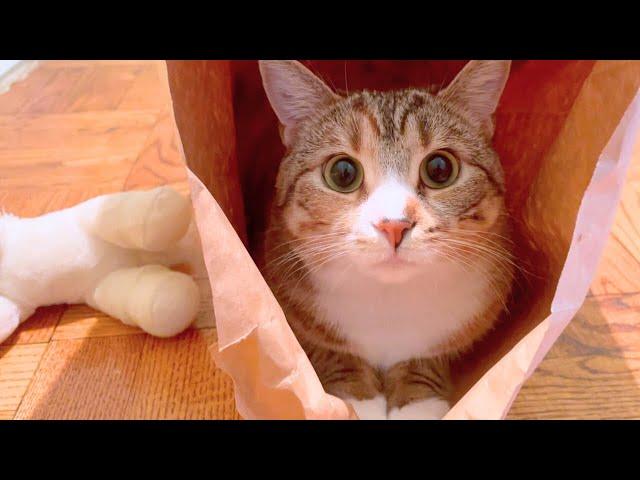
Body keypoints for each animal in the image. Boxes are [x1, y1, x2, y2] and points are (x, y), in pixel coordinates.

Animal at [258, 61, 512, 420]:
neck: (389, 299)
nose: (394, 225)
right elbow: (332, 349)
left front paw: (418, 401)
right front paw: (357, 396)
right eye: (343, 173)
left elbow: (428, 353)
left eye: (440, 168)